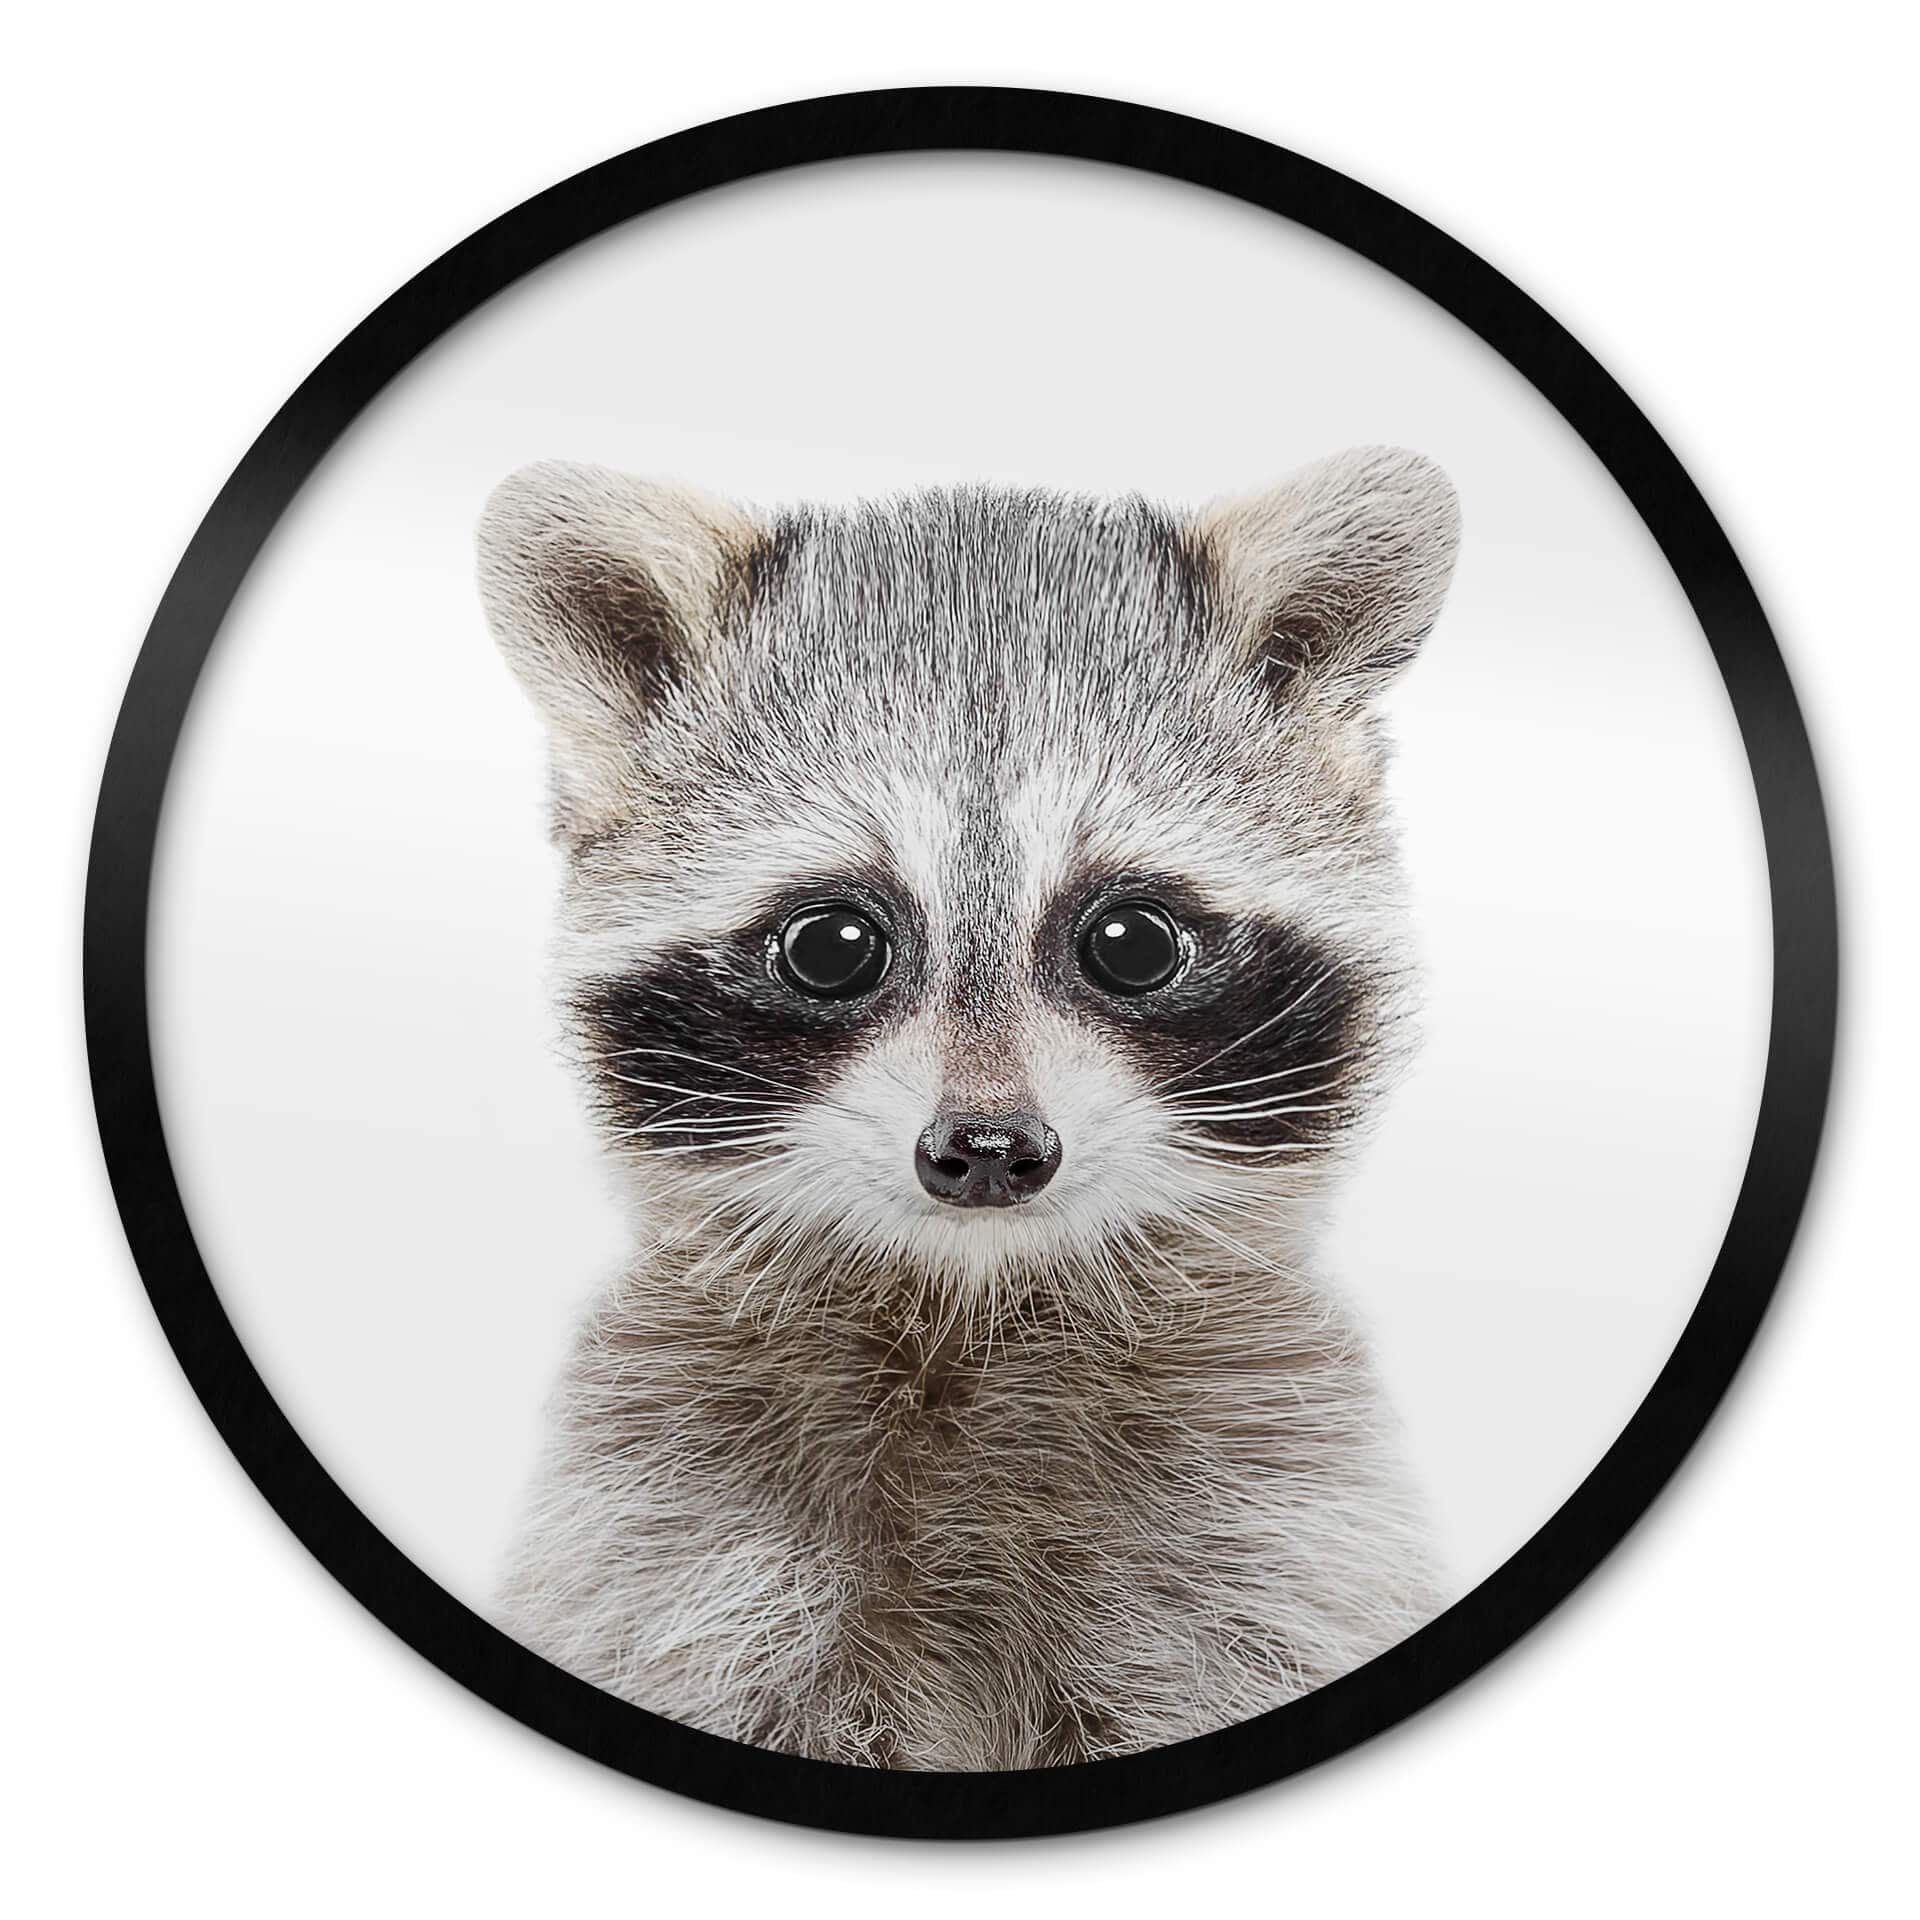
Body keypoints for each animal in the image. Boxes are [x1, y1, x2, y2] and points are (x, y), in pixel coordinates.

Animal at [479, 446, 1461, 1769]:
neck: (971, 1306)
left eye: (1131, 942)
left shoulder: (1268, 1527)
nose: (989, 1149)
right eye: (832, 945)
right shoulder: (675, 1536)